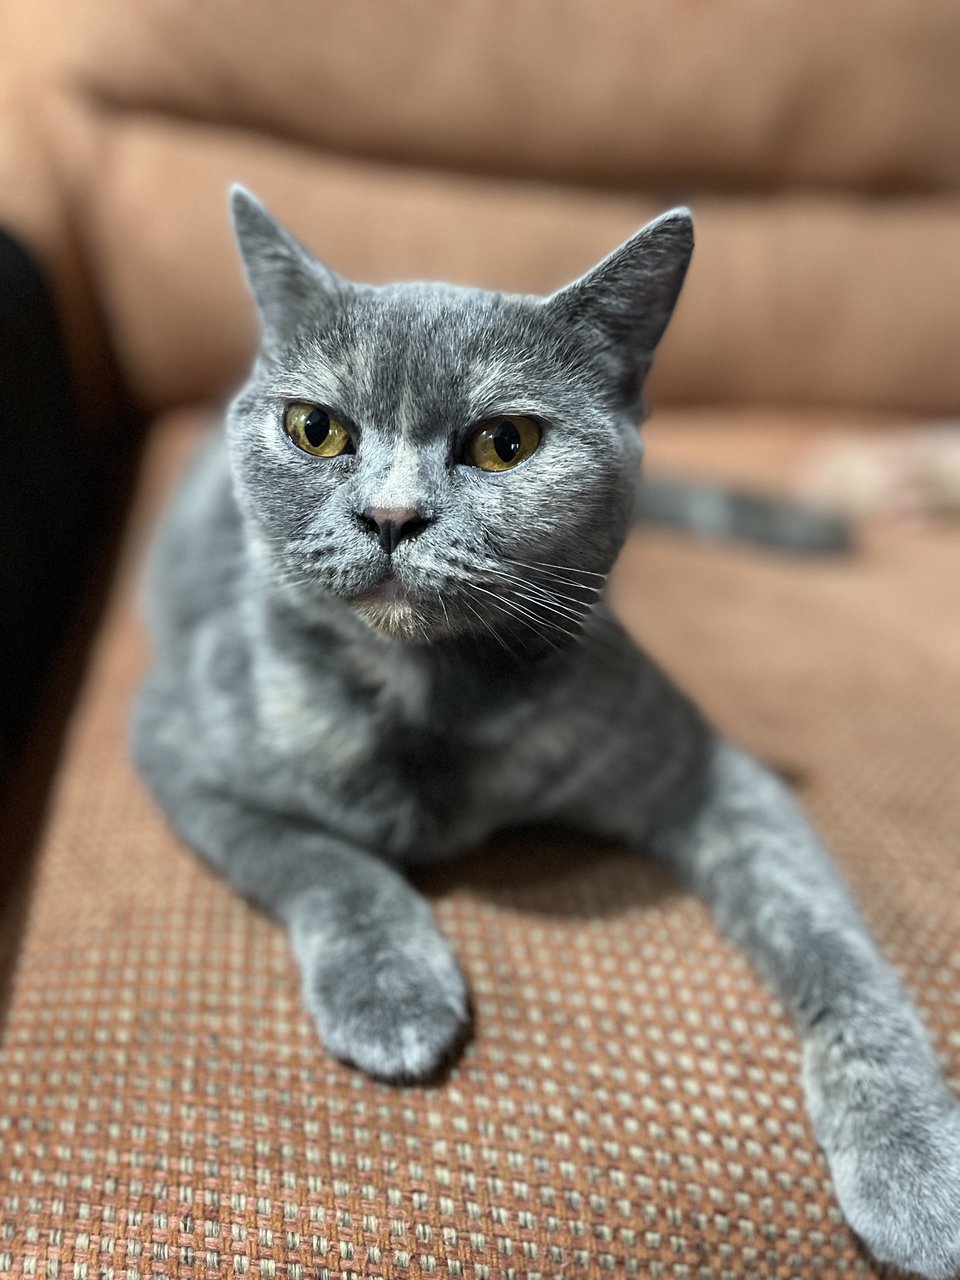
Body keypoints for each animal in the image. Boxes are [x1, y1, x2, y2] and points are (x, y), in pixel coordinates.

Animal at [135, 186, 960, 1280]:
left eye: (505, 443)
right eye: (316, 429)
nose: (391, 515)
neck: (431, 698)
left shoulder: (706, 770)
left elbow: (829, 940)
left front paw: (917, 1162)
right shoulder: (176, 741)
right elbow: (316, 856)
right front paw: (392, 988)